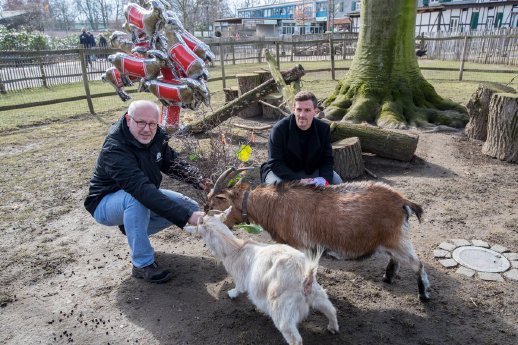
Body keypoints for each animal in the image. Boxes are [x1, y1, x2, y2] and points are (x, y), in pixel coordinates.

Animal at [187, 207, 342, 344]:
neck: (236, 249)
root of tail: (305, 278)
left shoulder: (239, 278)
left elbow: (239, 288)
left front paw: (231, 293)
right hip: (317, 293)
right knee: (331, 309)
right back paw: (332, 328)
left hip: (282, 308)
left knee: (294, 337)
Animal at [209, 168, 432, 300]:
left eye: (219, 201)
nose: (223, 222)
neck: (274, 205)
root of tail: (403, 201)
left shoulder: (300, 244)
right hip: (391, 240)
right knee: (396, 259)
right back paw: (387, 277)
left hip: (396, 239)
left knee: (417, 264)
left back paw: (423, 295)